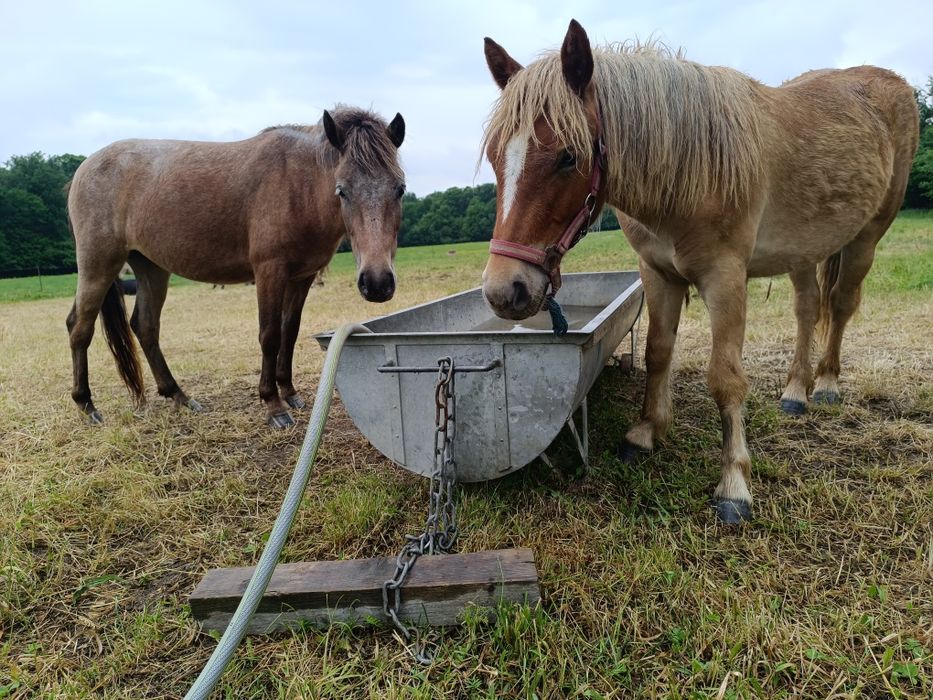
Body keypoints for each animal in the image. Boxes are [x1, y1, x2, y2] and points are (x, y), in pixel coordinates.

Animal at [66, 106, 406, 428]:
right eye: (342, 190)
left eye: (400, 188)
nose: (377, 283)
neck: (298, 183)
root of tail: (84, 168)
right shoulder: (269, 272)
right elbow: (269, 335)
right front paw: (273, 405)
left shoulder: (302, 277)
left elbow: (290, 331)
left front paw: (290, 392)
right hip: (99, 264)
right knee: (79, 326)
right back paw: (87, 406)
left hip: (151, 268)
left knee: (145, 326)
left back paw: (179, 396)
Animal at [480, 20, 919, 522]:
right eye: (494, 156)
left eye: (568, 156)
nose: (503, 291)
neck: (689, 169)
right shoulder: (657, 274)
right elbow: (658, 353)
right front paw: (645, 433)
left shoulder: (724, 279)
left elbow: (725, 379)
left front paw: (734, 484)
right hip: (804, 250)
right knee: (808, 310)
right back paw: (795, 390)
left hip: (867, 236)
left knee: (841, 305)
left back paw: (825, 383)